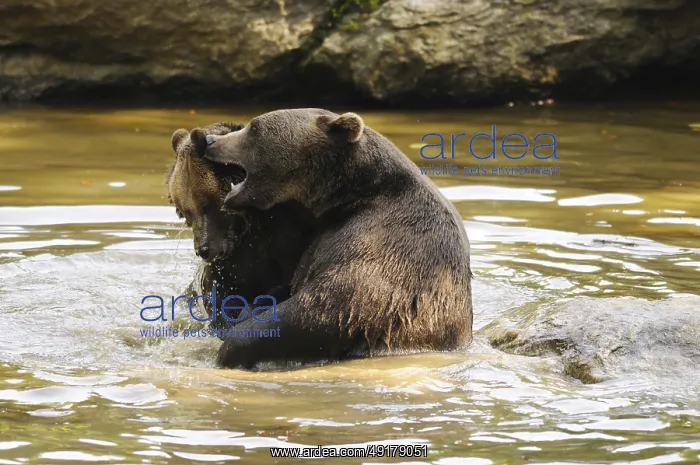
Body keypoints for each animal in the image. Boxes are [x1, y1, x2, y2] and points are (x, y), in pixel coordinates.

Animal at [199, 108, 474, 370]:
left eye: (254, 127)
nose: (210, 140)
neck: (350, 196)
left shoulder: (385, 240)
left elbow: (330, 307)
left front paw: (235, 345)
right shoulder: (318, 235)